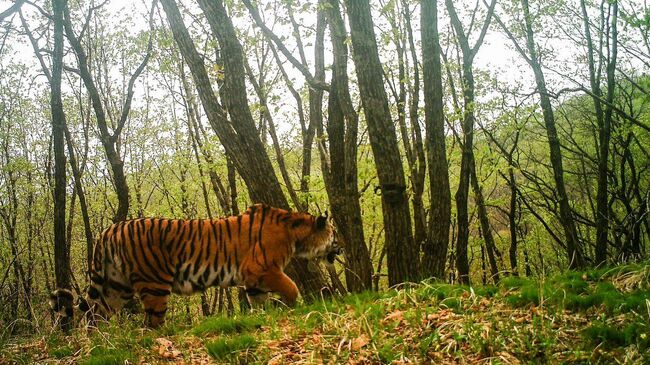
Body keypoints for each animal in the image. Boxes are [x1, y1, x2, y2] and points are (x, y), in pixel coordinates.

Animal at [50, 202, 340, 328]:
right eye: (335, 235)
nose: (342, 247)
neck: (296, 233)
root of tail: (108, 230)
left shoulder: (254, 281)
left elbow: (259, 302)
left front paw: (265, 317)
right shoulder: (262, 270)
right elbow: (291, 287)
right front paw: (294, 308)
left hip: (115, 287)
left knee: (94, 314)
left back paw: (102, 343)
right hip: (154, 285)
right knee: (151, 324)